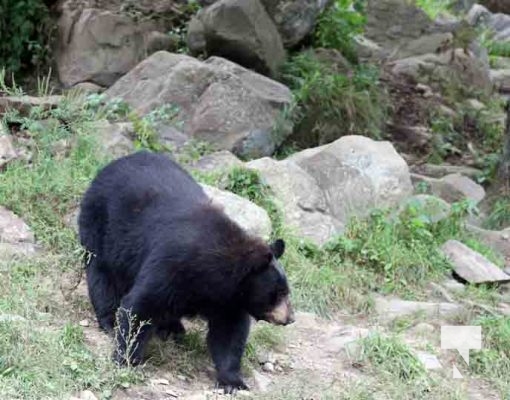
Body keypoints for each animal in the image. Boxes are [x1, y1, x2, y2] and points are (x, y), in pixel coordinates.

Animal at [79, 150, 294, 390]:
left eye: (286, 292)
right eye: (280, 293)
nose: (290, 318)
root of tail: (112, 164)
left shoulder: (228, 299)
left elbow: (229, 332)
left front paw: (233, 381)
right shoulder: (174, 264)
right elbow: (141, 305)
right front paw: (126, 358)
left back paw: (173, 328)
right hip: (102, 223)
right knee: (102, 273)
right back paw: (109, 320)